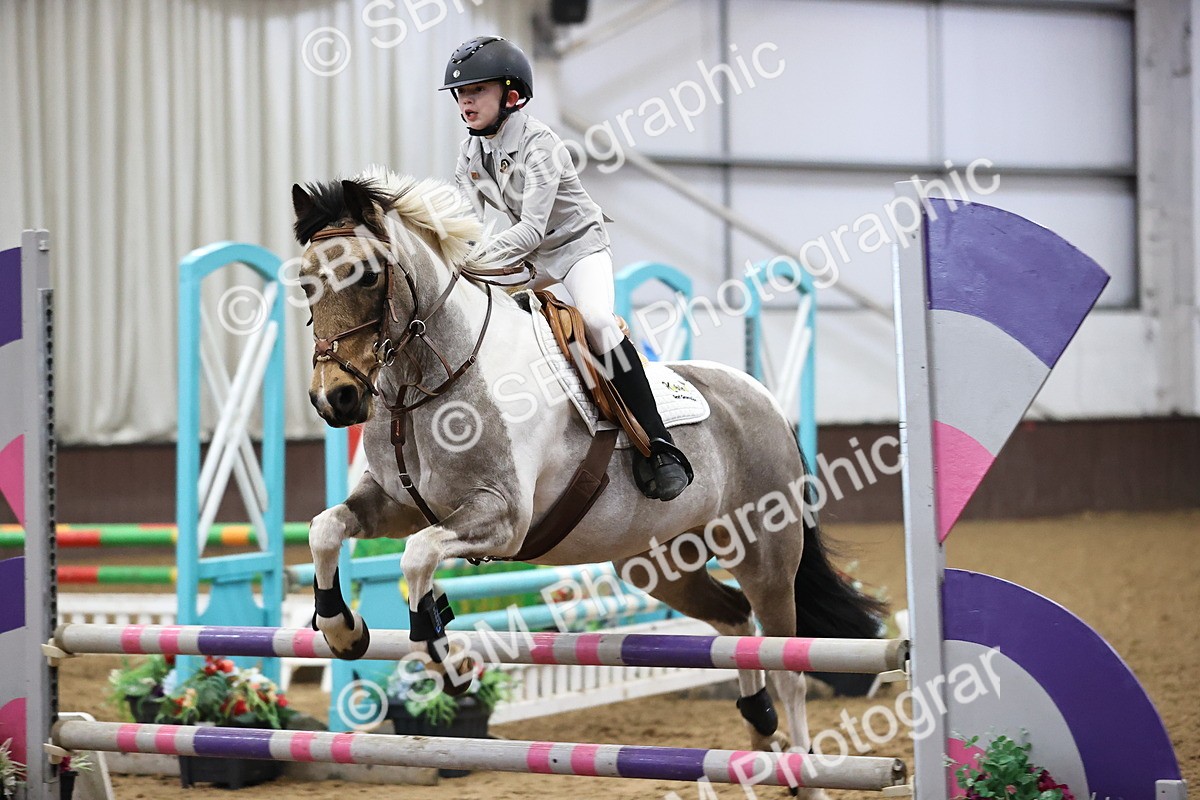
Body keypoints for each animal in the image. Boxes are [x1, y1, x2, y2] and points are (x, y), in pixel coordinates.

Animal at [292, 166, 884, 797]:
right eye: (305, 282)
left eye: (367, 275)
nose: (334, 400)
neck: (427, 380)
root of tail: (762, 397)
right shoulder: (393, 503)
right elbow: (327, 528)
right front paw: (343, 630)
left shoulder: (501, 519)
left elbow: (417, 554)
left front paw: (443, 659)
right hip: (660, 563)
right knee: (733, 620)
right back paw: (758, 730)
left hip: (765, 554)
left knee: (786, 662)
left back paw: (803, 771)